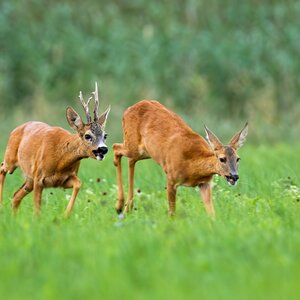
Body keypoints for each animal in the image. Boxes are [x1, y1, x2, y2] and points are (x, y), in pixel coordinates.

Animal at [0, 82, 110, 216]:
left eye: (105, 135)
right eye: (87, 135)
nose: (103, 149)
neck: (60, 162)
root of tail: (16, 129)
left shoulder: (63, 180)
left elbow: (78, 184)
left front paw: (66, 214)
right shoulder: (39, 177)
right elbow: (37, 208)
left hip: (29, 179)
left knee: (15, 196)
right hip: (11, 159)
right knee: (2, 168)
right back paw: (1, 204)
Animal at [113, 101, 248, 218]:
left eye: (238, 159)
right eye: (222, 159)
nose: (234, 176)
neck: (192, 165)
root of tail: (127, 110)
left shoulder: (204, 184)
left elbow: (211, 214)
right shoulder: (171, 178)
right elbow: (172, 213)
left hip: (144, 152)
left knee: (130, 160)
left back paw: (127, 208)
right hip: (133, 145)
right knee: (116, 148)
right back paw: (119, 206)